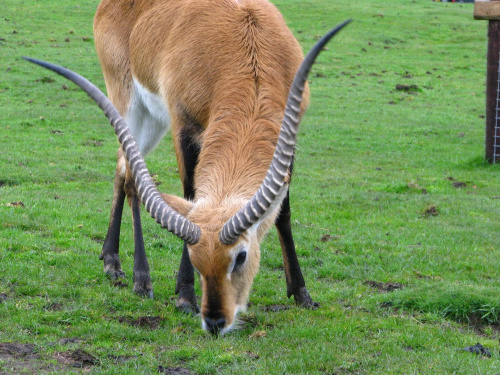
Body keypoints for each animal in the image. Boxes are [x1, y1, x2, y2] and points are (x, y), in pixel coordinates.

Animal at [25, 0, 350, 336]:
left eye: (241, 257)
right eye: (196, 260)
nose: (216, 320)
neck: (247, 51)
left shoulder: (288, 134)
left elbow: (283, 211)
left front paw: (301, 293)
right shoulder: (185, 126)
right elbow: (191, 197)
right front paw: (184, 296)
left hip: (153, 121)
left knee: (121, 169)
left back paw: (111, 261)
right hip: (128, 105)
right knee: (132, 178)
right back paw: (139, 279)